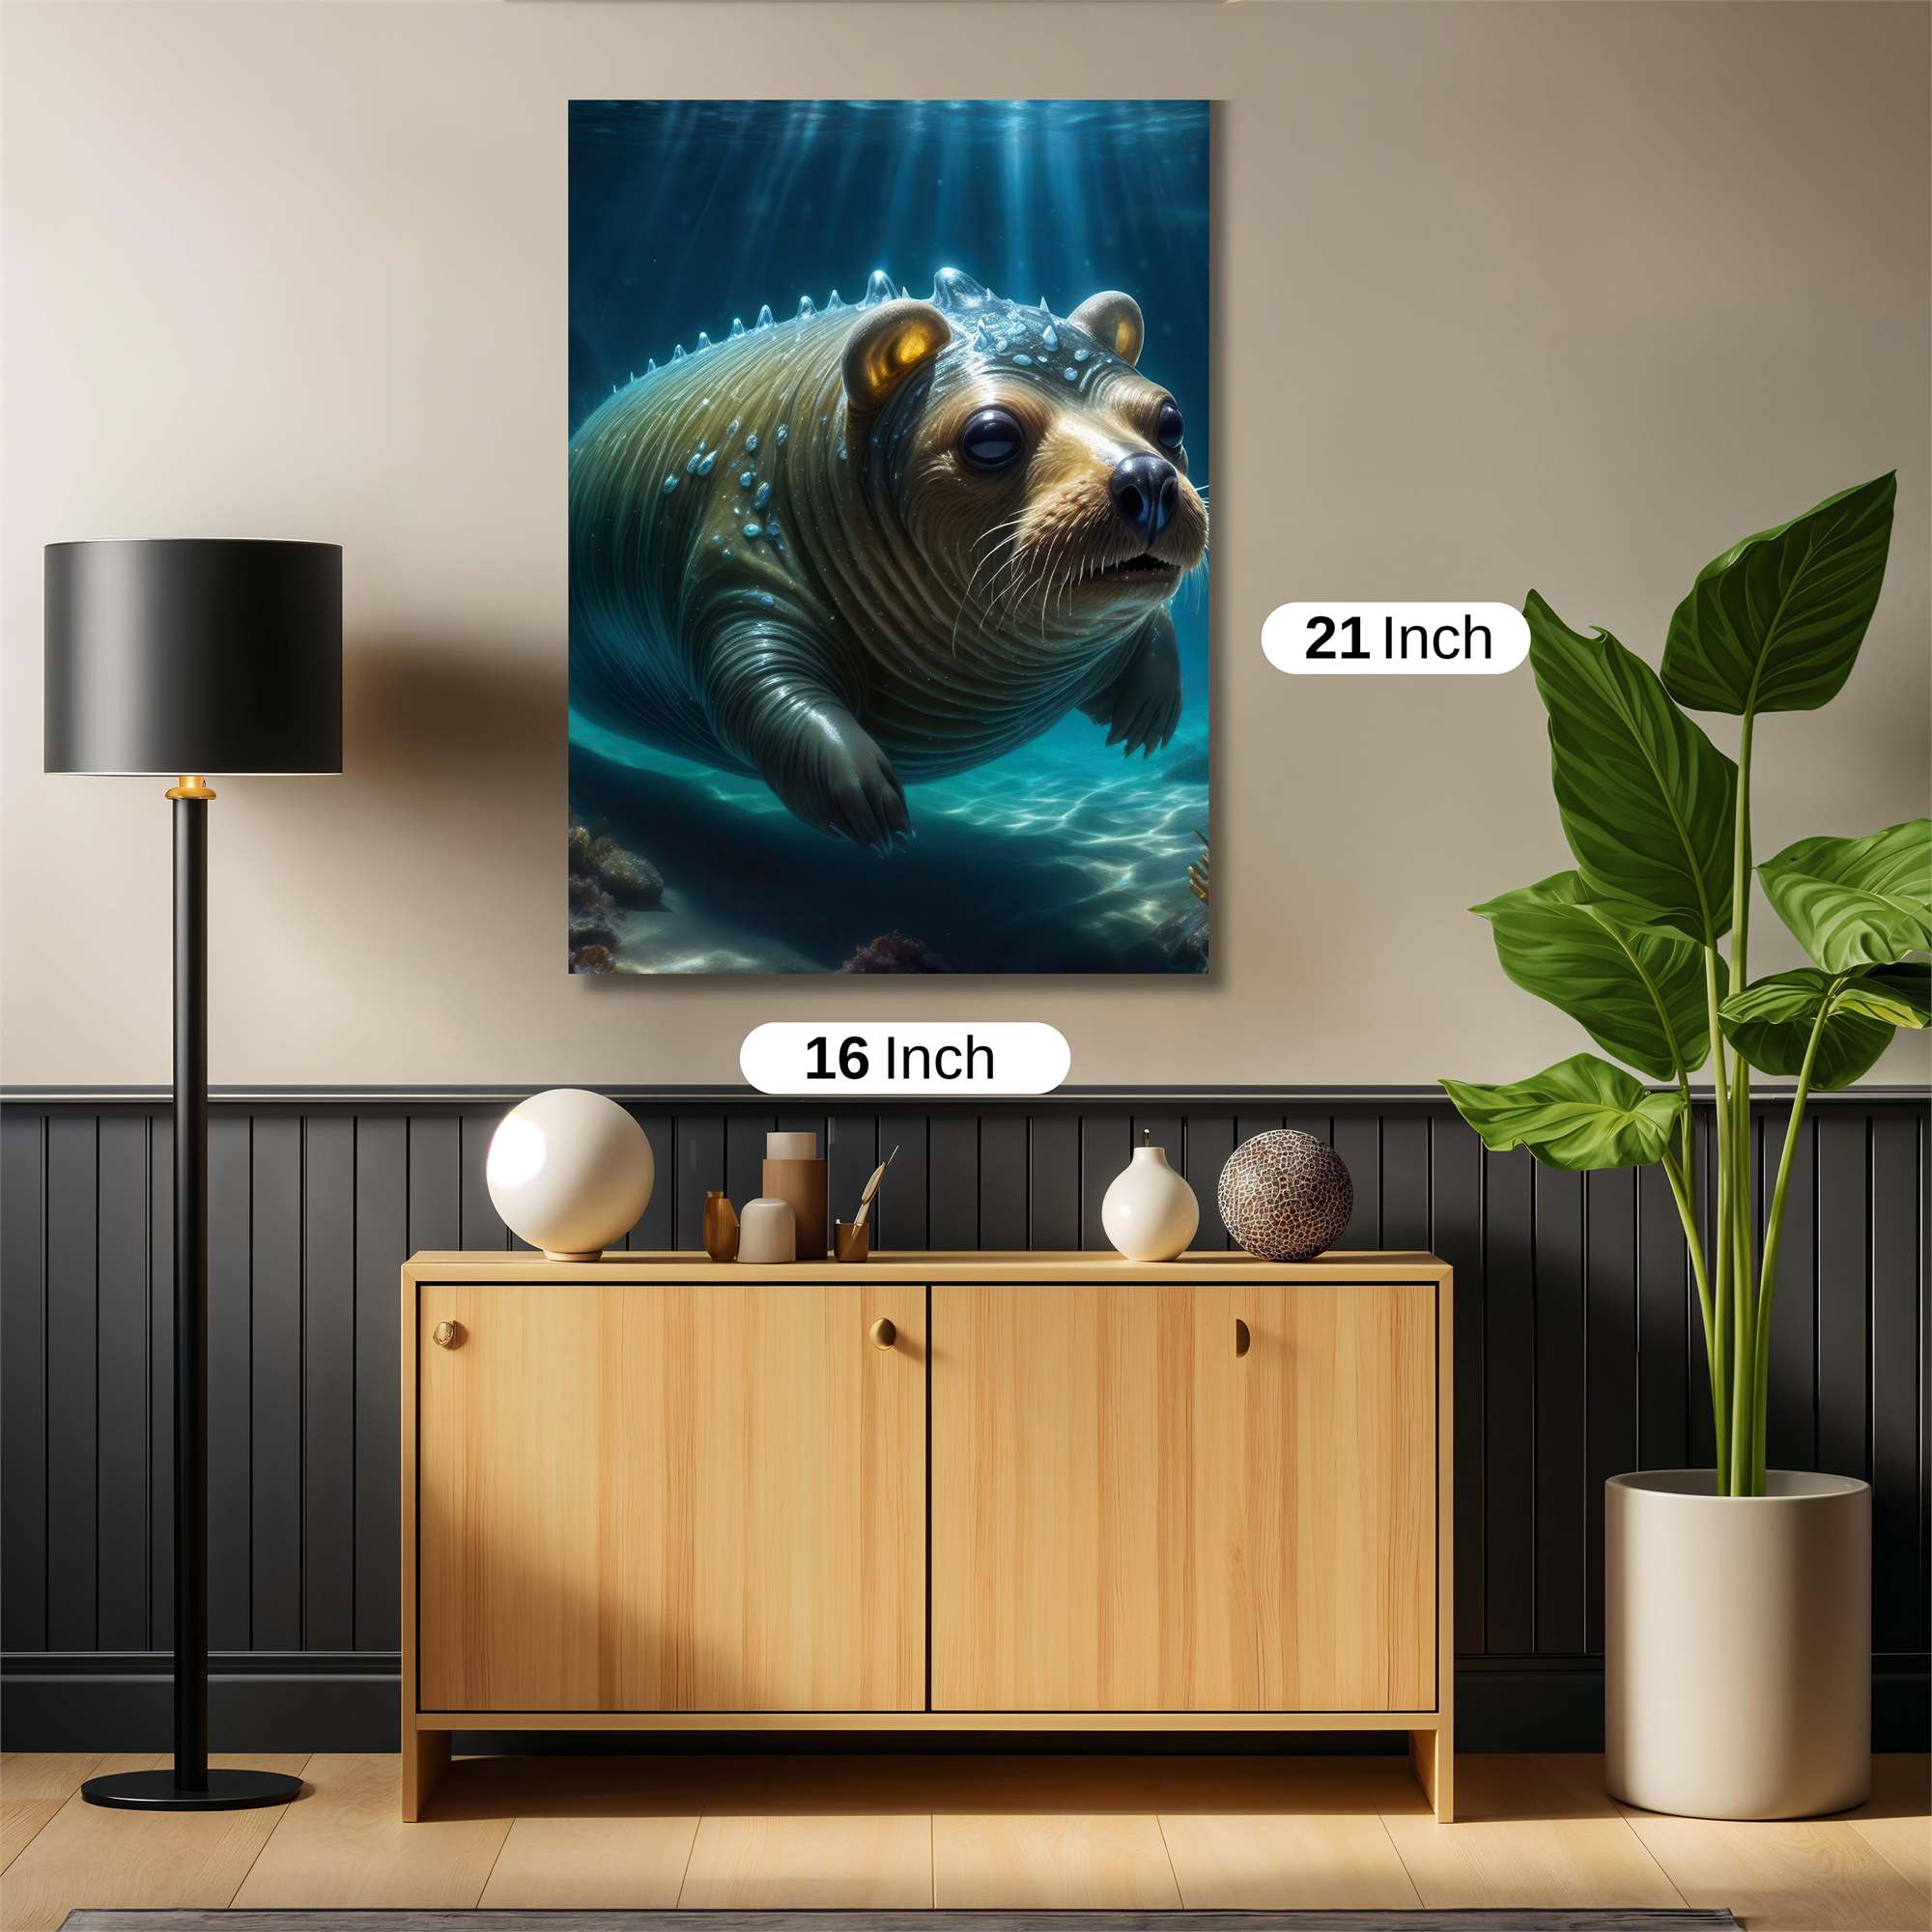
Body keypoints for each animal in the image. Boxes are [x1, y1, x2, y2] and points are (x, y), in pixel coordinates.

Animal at [569, 267, 1209, 853]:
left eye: (1170, 419)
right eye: (991, 436)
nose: (1148, 477)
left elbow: (1153, 625)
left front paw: (1145, 721)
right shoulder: (737, 556)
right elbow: (759, 686)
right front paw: (866, 798)